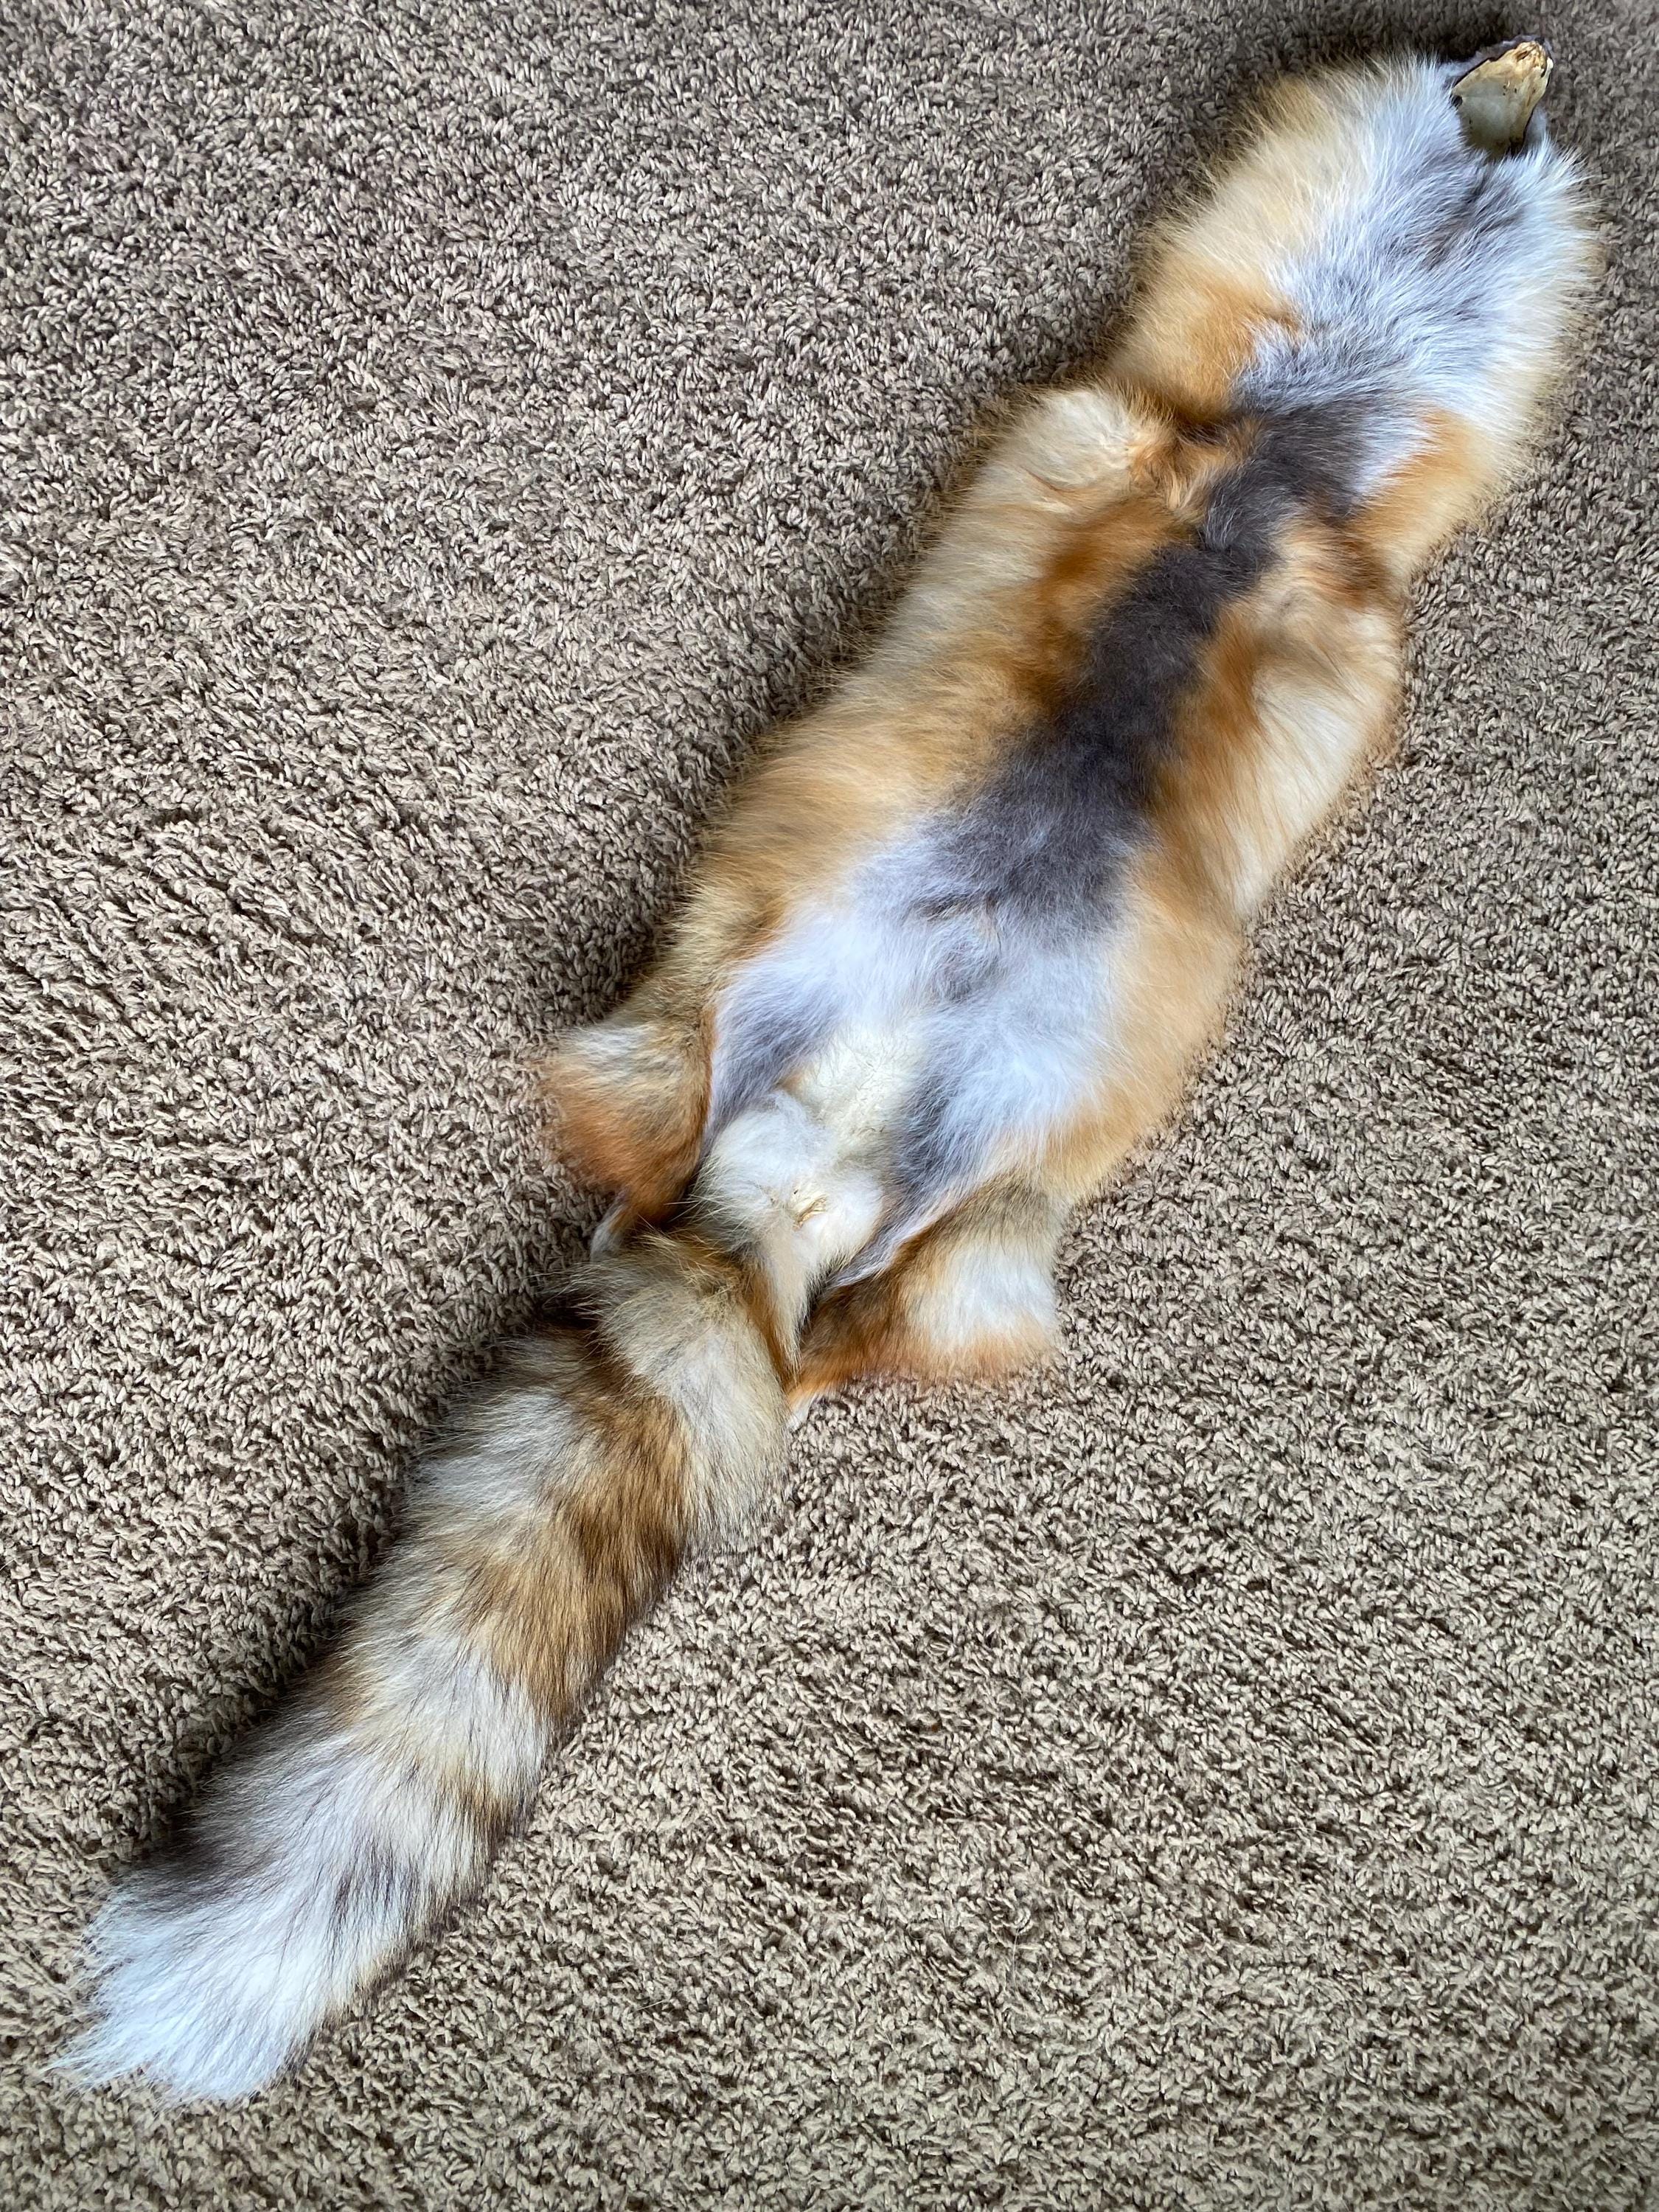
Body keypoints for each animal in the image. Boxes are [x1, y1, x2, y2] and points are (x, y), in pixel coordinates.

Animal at [67, 43, 1596, 2098]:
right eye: (1443, 100)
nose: (1512, 69)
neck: (1272, 464)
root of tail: (796, 1196)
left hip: (833, 1126)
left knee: (770, 1272)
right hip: (856, 1132)